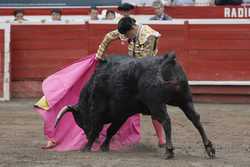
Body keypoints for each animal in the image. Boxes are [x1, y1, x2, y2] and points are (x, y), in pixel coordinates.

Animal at [55, 52, 215, 159]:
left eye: (81, 121)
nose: (85, 134)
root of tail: (166, 60)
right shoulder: (121, 114)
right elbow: (112, 130)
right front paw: (104, 146)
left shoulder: (98, 111)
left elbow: (97, 128)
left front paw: (86, 147)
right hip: (184, 100)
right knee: (195, 119)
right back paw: (209, 148)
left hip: (156, 103)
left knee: (165, 120)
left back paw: (169, 151)